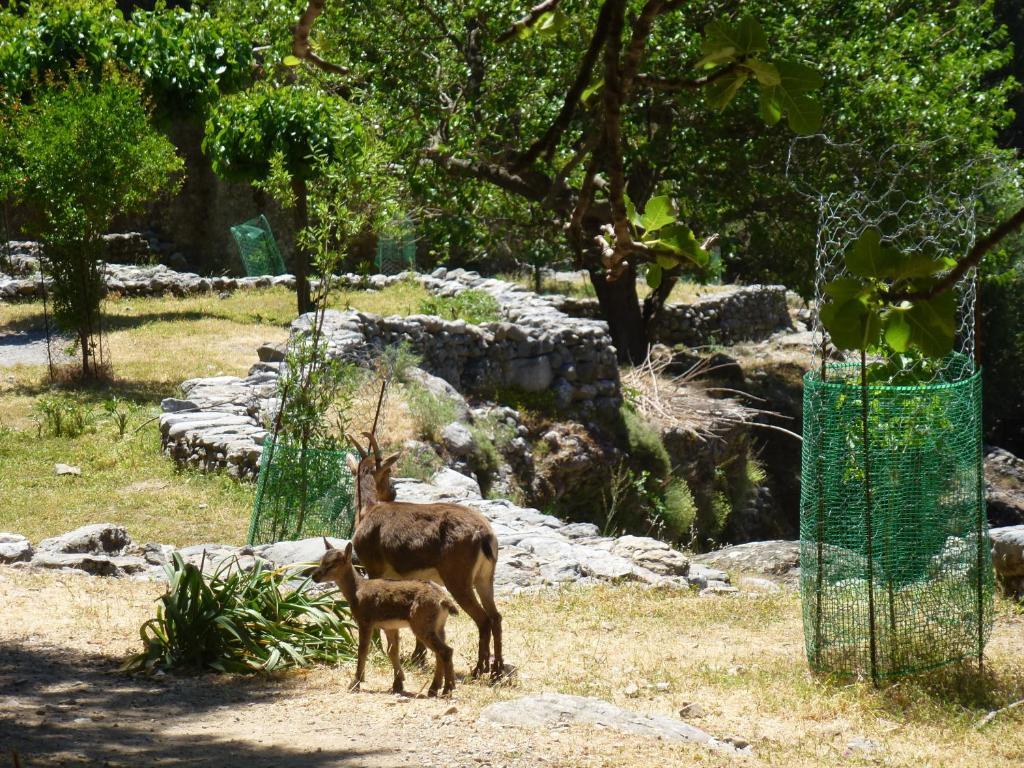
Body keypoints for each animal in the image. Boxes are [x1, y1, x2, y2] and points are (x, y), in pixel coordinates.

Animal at [309, 540, 458, 696]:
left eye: (332, 564)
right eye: (321, 561)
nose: (314, 576)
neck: (356, 592)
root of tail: (444, 601)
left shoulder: (365, 620)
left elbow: (363, 650)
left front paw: (355, 683)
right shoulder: (389, 626)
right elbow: (392, 651)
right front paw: (397, 684)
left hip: (422, 623)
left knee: (445, 651)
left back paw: (446, 689)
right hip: (438, 626)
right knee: (441, 652)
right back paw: (435, 688)